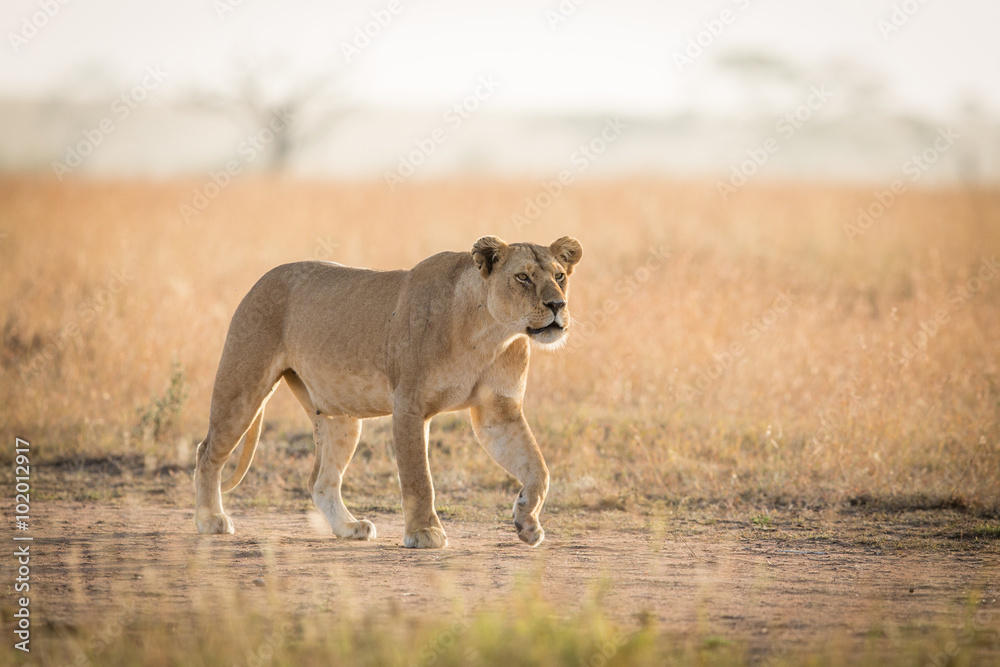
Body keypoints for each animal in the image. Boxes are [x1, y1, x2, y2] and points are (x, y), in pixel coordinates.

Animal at [194, 235, 583, 548]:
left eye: (559, 276)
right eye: (523, 277)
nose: (557, 306)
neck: (491, 333)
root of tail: (263, 277)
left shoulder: (498, 413)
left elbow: (537, 468)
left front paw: (526, 521)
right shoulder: (409, 406)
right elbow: (418, 478)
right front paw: (424, 533)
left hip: (340, 416)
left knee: (320, 480)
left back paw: (349, 527)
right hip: (242, 387)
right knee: (207, 452)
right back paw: (210, 519)